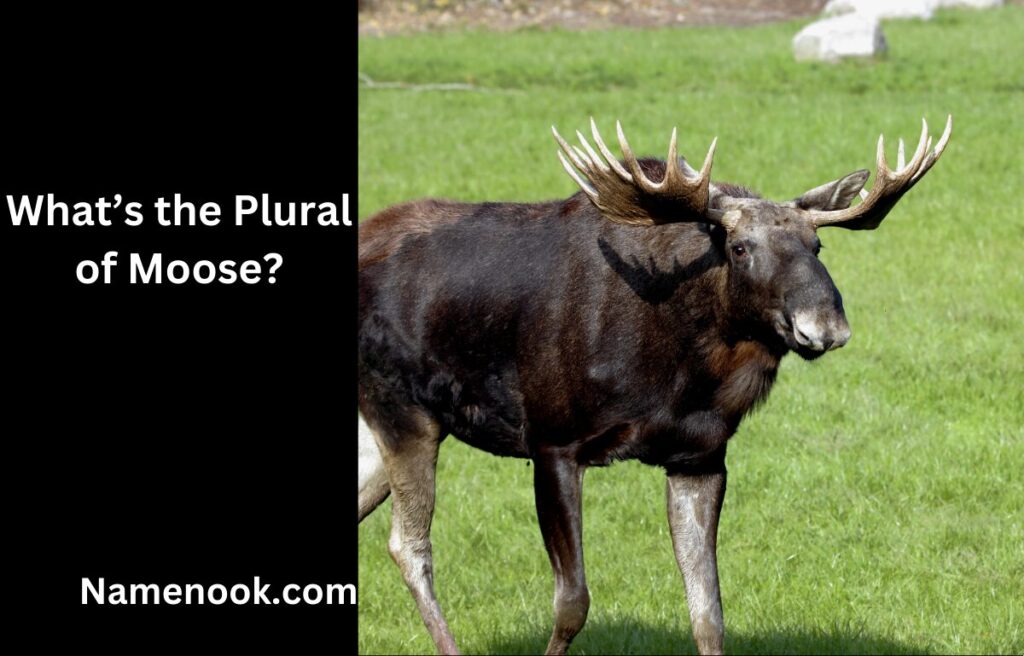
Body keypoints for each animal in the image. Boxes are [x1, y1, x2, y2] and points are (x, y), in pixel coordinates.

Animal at [357, 115, 951, 655]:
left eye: (817, 245)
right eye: (739, 247)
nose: (825, 326)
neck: (679, 372)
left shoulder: (700, 456)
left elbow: (708, 612)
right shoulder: (552, 440)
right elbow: (572, 603)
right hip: (404, 412)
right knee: (409, 546)